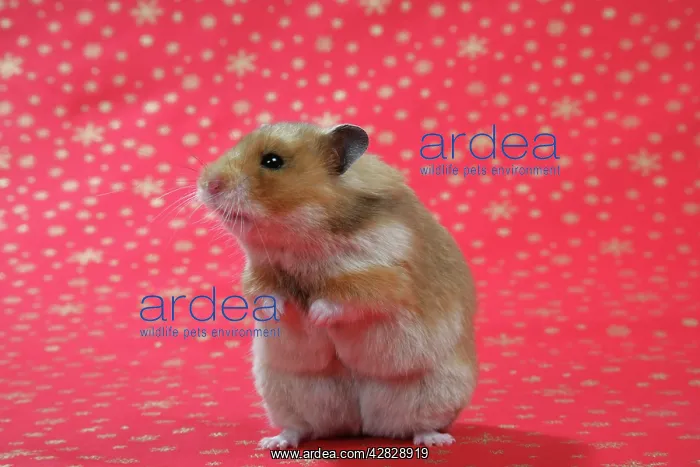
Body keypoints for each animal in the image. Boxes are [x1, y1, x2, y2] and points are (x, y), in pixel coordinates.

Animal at [197, 122, 478, 448]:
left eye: (273, 161)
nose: (208, 185)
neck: (301, 238)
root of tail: (362, 425)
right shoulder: (259, 272)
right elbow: (265, 295)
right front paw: (279, 313)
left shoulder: (385, 275)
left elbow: (347, 297)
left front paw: (314, 316)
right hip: (284, 392)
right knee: (302, 427)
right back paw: (273, 442)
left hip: (438, 390)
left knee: (419, 424)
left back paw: (435, 440)